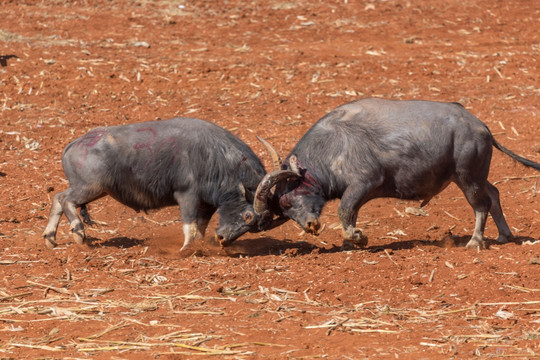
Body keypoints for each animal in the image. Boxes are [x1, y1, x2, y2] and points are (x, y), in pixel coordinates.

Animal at [43, 117, 274, 250]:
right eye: (248, 215)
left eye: (256, 226)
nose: (223, 239)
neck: (216, 157)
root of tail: (74, 144)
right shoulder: (187, 196)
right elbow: (189, 227)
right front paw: (185, 250)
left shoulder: (207, 205)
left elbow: (200, 227)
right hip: (90, 188)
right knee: (65, 199)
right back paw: (79, 234)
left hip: (97, 190)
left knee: (57, 197)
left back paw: (50, 238)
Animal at [254, 98, 540, 250]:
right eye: (285, 211)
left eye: (287, 201)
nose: (310, 227)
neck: (331, 146)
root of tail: (481, 126)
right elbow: (351, 214)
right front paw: (350, 241)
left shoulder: (364, 183)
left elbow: (344, 211)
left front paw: (358, 237)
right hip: (475, 176)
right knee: (494, 194)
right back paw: (504, 235)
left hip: (468, 177)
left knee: (481, 205)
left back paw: (475, 241)